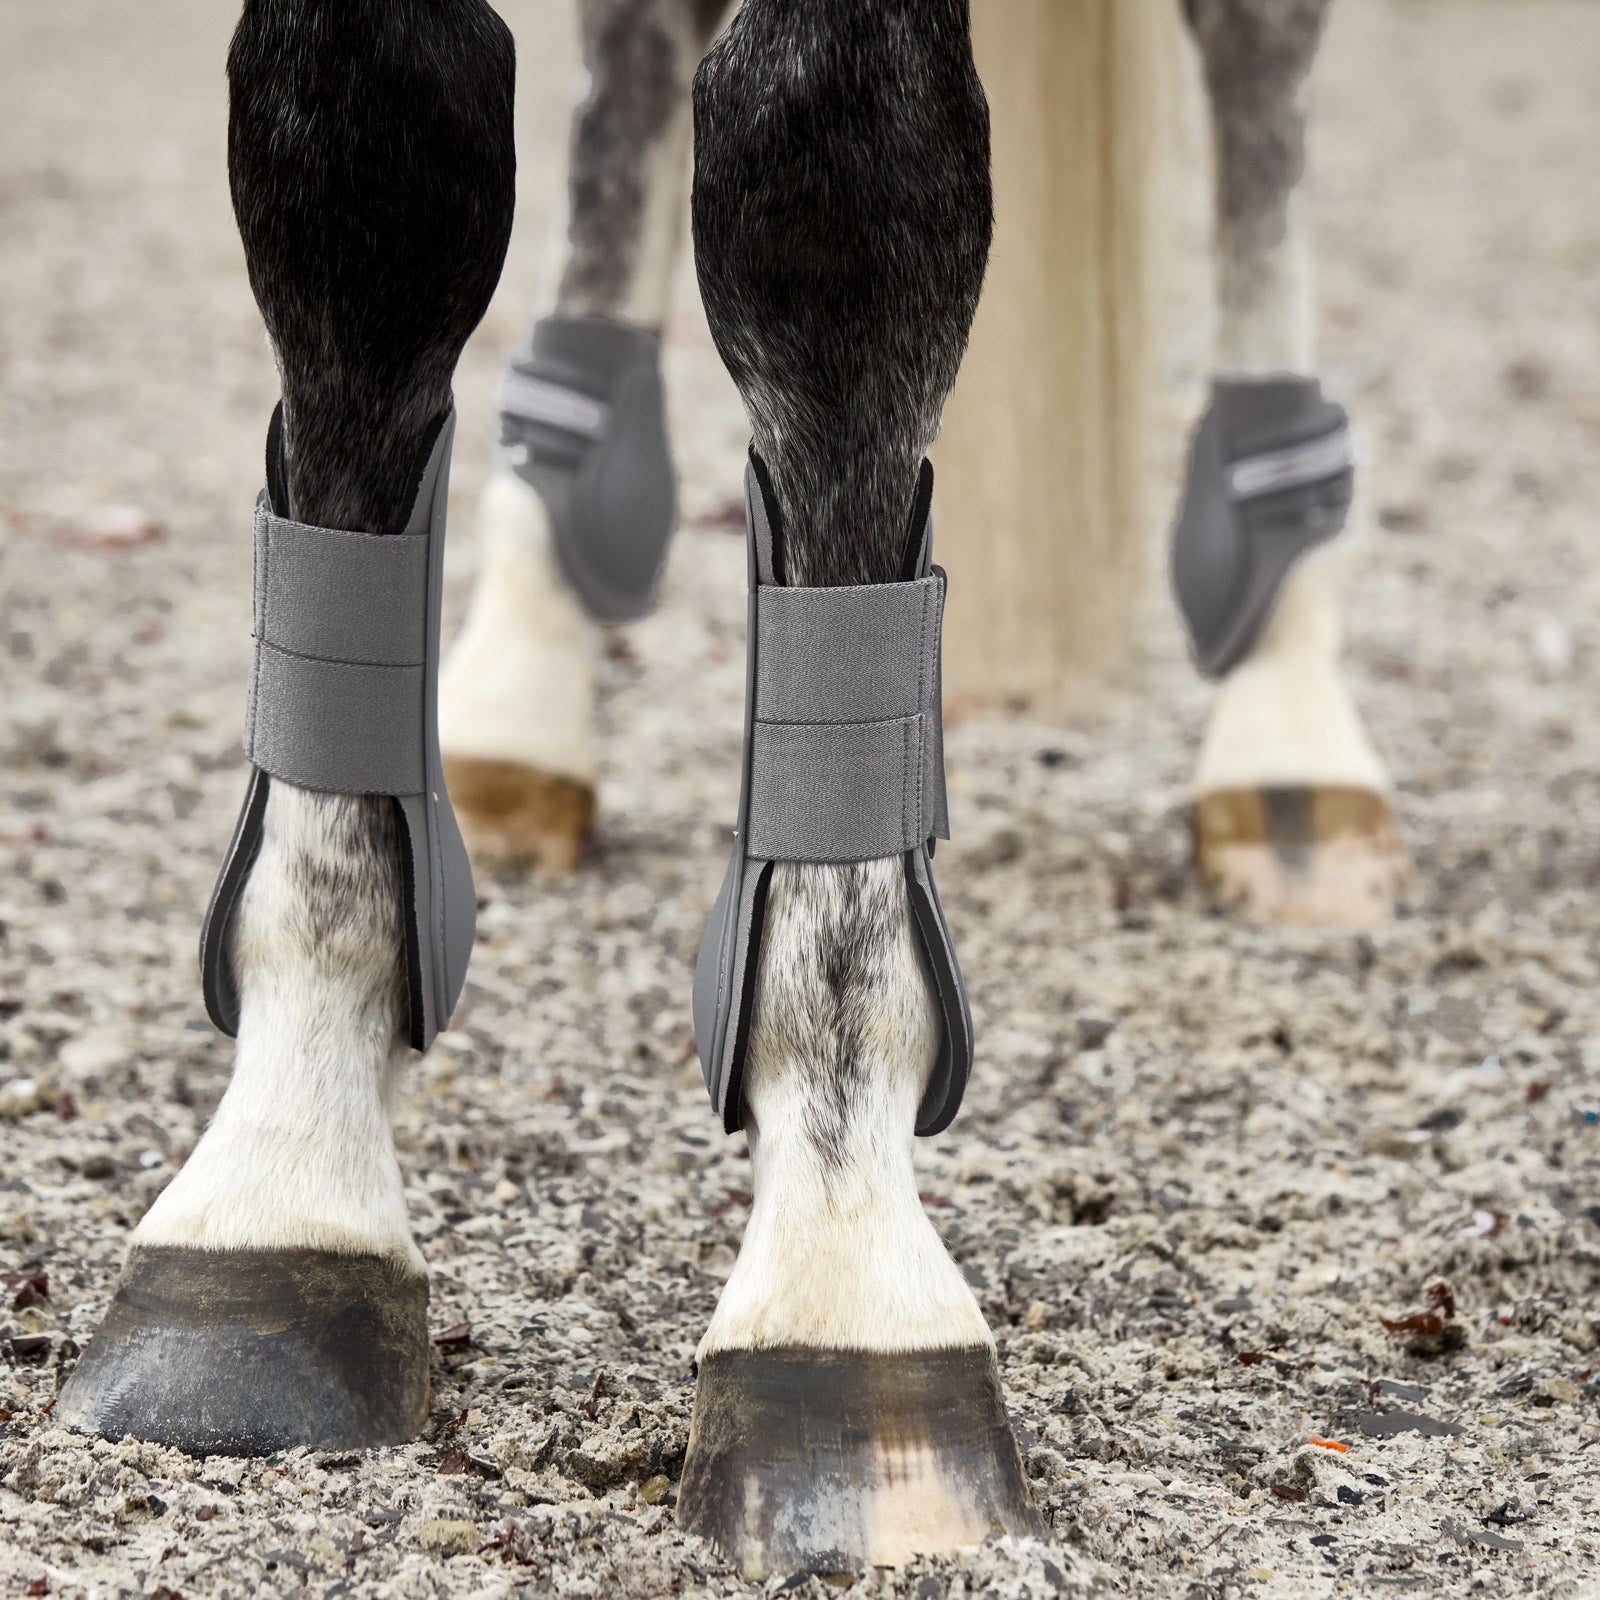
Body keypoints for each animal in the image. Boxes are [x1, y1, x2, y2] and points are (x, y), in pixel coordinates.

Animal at [53, 0, 1396, 1579]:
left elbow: (827, 189)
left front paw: (842, 1281)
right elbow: (367, 176)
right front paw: (276, 1196)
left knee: (1257, 62)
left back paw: (1290, 733)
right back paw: (523, 679)